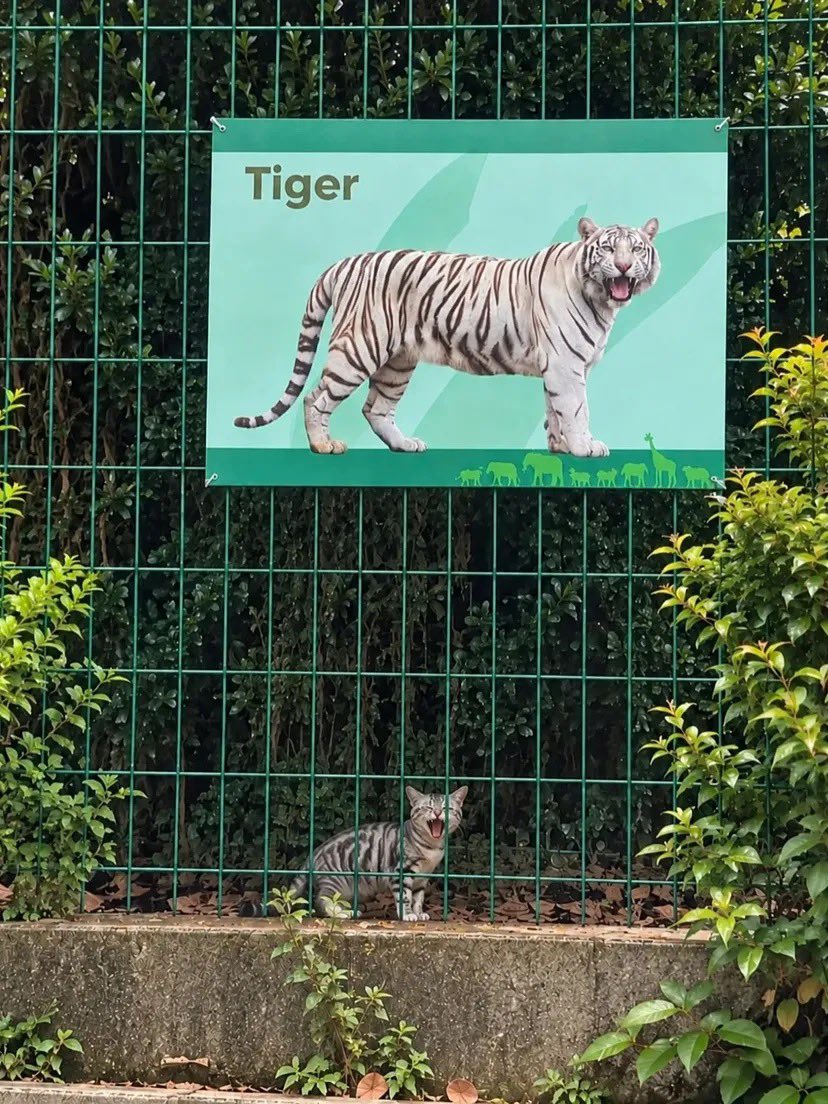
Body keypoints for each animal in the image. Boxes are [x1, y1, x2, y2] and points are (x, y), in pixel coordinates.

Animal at [232, 216, 660, 458]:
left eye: (637, 249)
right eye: (608, 248)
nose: (624, 266)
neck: (602, 300)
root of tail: (344, 263)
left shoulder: (557, 368)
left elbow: (554, 410)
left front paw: (559, 448)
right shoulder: (567, 366)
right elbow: (575, 409)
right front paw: (586, 447)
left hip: (397, 361)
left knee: (376, 409)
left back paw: (404, 445)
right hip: (358, 348)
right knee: (315, 397)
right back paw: (322, 445)